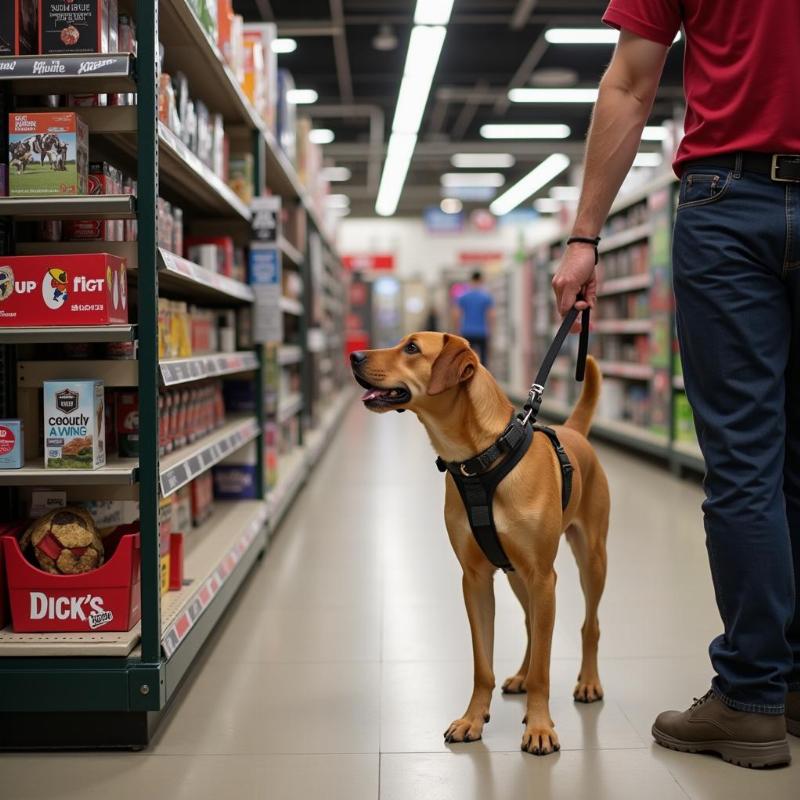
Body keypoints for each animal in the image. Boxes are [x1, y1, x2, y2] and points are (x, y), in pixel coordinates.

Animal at [354, 332, 608, 756]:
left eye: (412, 348)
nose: (353, 355)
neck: (482, 459)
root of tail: (574, 431)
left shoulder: (543, 576)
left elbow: (544, 669)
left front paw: (539, 727)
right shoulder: (475, 579)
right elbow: (482, 664)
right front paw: (473, 719)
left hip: (590, 559)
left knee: (590, 625)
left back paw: (588, 682)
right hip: (517, 576)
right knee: (532, 623)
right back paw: (521, 674)